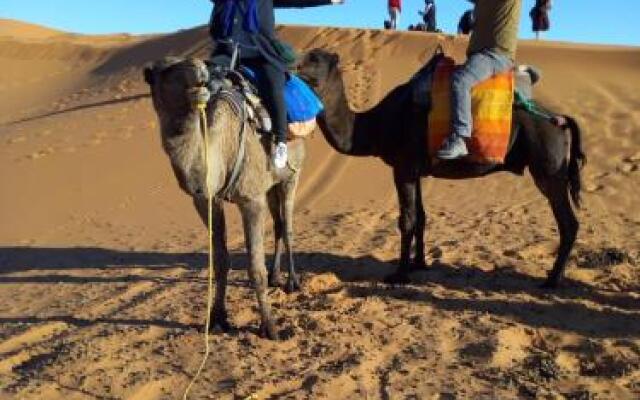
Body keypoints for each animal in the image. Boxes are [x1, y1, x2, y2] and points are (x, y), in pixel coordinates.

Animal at [146, 56, 306, 340]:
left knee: (287, 226)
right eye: (164, 70)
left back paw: (292, 282)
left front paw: (270, 328)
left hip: (291, 175)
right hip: (270, 184)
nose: (198, 70)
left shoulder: (251, 199)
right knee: (278, 225)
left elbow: (254, 267)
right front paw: (217, 318)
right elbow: (220, 261)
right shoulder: (207, 200)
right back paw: (276, 276)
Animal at [298, 49, 588, 288]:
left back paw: (552, 280)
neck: (376, 125)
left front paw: (399, 274)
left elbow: (406, 220)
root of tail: (560, 120)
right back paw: (556, 276)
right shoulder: (416, 171)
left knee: (568, 223)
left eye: (314, 58)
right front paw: (419, 264)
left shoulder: (402, 168)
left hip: (548, 170)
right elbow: (421, 217)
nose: (292, 64)